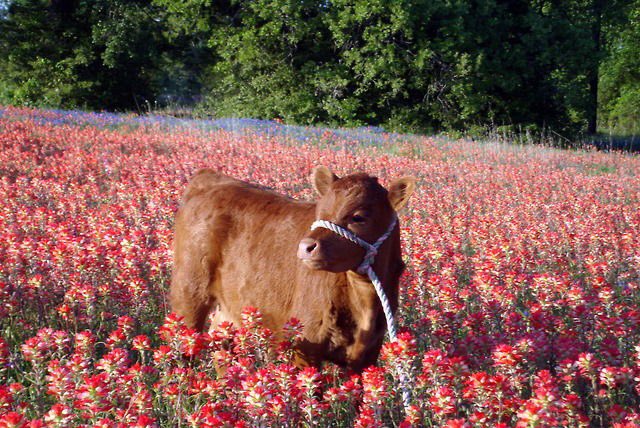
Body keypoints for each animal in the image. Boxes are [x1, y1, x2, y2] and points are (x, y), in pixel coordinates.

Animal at [169, 166, 416, 372]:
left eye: (359, 217)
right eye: (320, 212)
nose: (306, 246)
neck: (364, 301)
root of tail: (210, 177)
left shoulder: (367, 355)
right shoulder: (305, 343)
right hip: (189, 291)